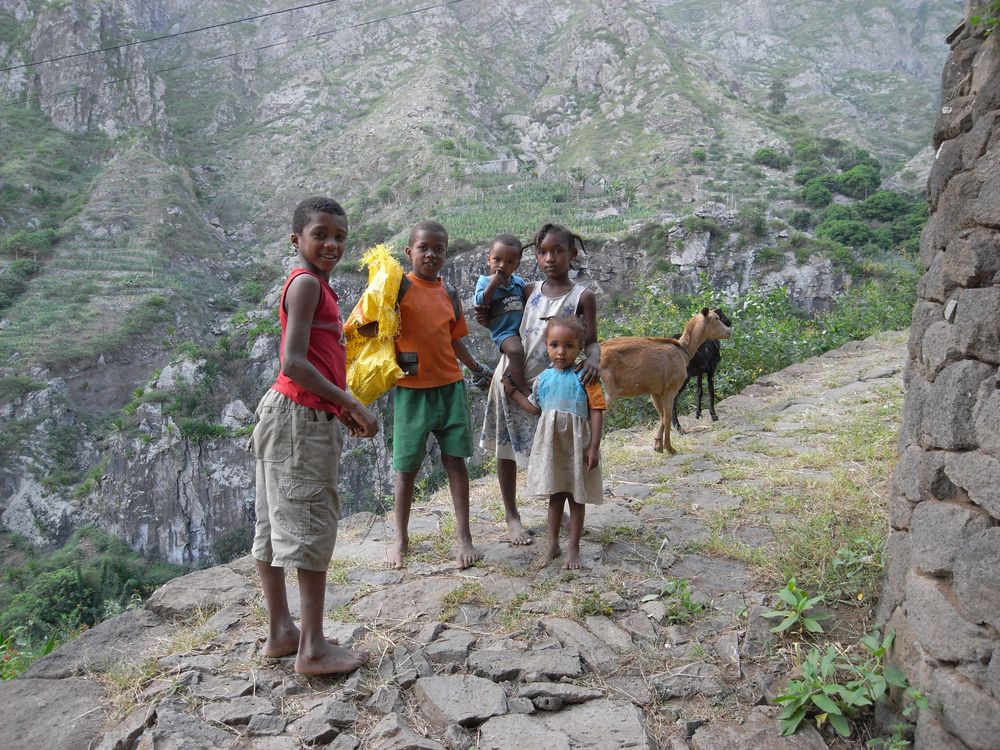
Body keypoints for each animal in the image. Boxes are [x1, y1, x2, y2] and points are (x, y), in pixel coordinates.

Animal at [600, 308, 736, 456]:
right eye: (716, 318)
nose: (729, 330)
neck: (683, 351)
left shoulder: (655, 391)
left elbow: (662, 416)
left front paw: (658, 445)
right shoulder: (671, 388)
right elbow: (668, 416)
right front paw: (670, 448)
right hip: (610, 389)